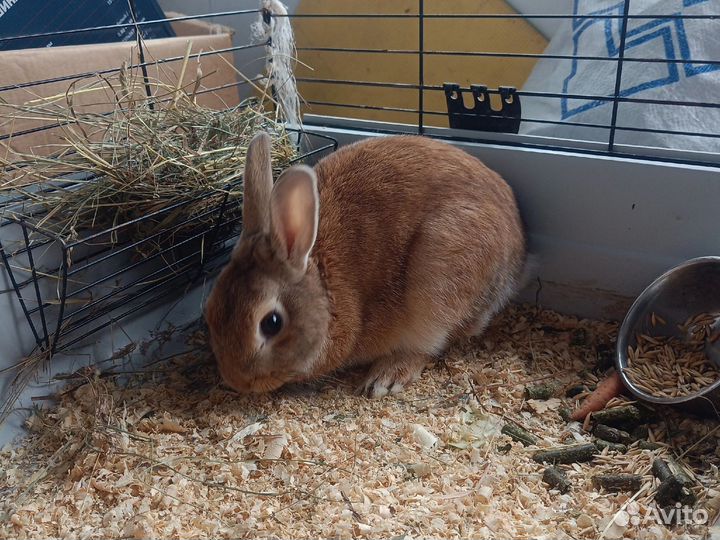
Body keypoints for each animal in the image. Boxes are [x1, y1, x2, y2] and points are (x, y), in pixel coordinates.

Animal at [205, 132, 528, 397]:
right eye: (210, 309)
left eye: (271, 323)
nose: (237, 381)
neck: (323, 282)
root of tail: (518, 251)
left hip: (438, 278)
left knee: (433, 342)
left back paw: (386, 377)